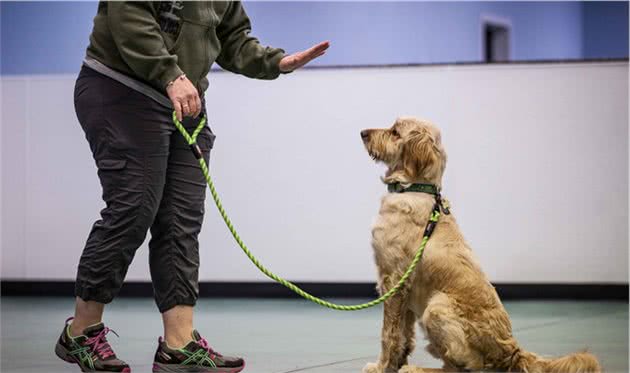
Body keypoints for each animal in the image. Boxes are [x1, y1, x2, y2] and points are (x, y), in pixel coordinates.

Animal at [360, 117, 604, 372]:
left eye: (395, 132)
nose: (363, 133)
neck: (415, 188)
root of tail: (511, 351)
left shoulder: (393, 280)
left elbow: (389, 334)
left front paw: (381, 366)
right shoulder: (404, 291)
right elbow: (405, 336)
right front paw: (394, 364)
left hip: (436, 307)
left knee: (461, 368)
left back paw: (417, 369)